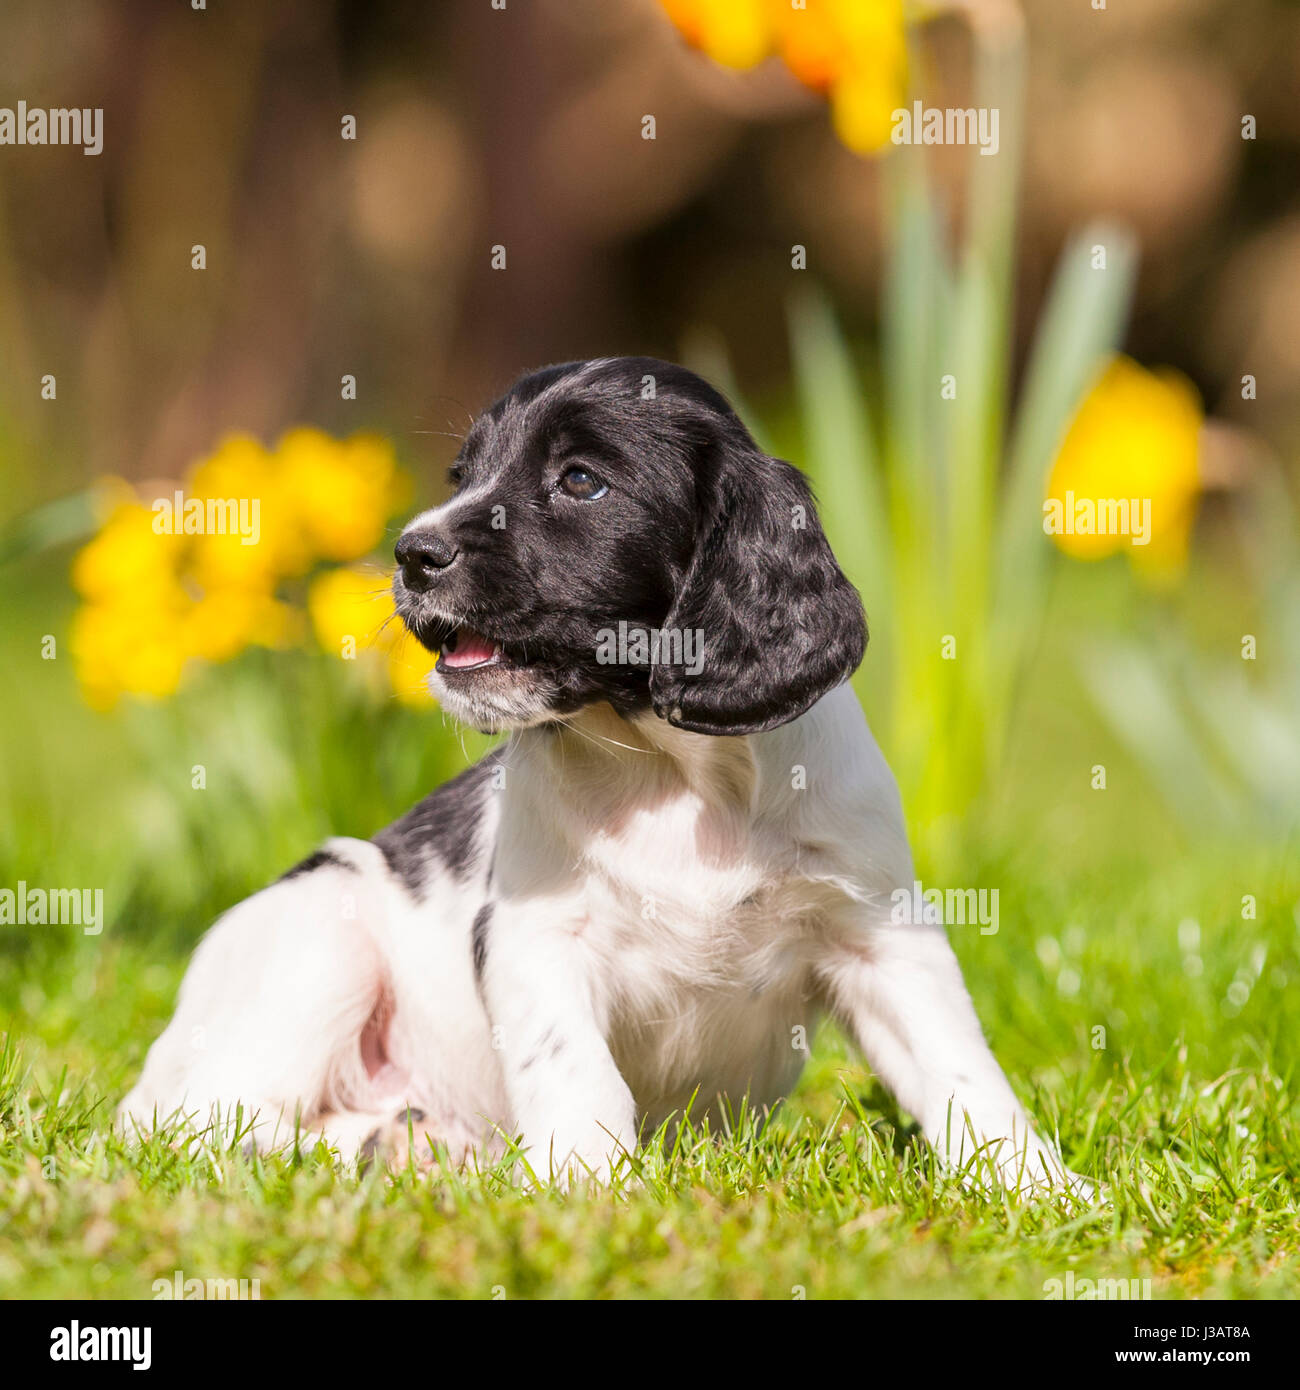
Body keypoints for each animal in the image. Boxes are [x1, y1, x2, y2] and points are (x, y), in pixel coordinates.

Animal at [119, 358, 1090, 1195]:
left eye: (582, 481)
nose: (411, 553)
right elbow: (577, 1070)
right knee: (210, 1129)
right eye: (464, 472)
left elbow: (961, 1069)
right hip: (319, 938)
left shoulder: (879, 931)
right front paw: (585, 1188)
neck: (677, 775)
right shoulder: (536, 938)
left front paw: (1041, 1190)